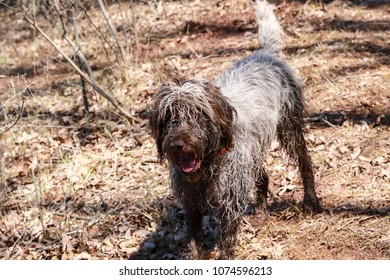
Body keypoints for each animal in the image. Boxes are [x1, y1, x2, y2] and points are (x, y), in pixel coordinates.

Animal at [148, 0, 322, 260]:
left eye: (199, 115)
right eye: (168, 117)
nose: (177, 145)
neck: (208, 166)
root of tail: (265, 53)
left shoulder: (228, 206)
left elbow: (227, 244)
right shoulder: (192, 203)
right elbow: (194, 242)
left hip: (290, 128)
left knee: (305, 162)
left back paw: (311, 200)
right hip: (254, 153)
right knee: (263, 176)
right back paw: (260, 210)